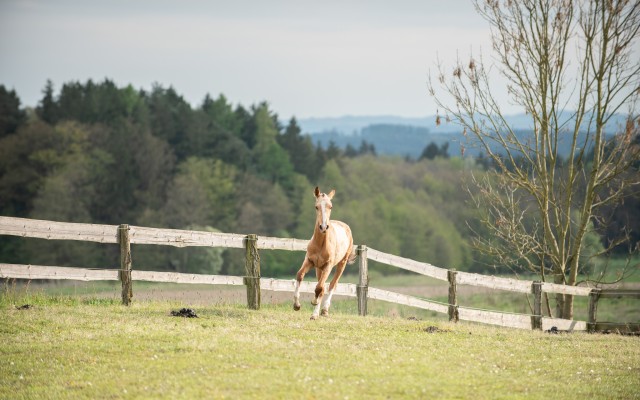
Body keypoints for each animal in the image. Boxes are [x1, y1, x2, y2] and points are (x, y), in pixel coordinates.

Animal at [294, 186, 358, 320]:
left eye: (331, 206)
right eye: (316, 206)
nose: (323, 227)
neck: (321, 244)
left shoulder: (328, 265)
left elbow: (319, 288)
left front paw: (314, 302)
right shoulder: (309, 261)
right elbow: (300, 275)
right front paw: (296, 305)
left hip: (341, 264)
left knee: (332, 285)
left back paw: (323, 310)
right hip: (319, 268)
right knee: (322, 286)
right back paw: (316, 313)